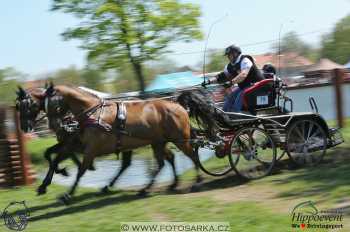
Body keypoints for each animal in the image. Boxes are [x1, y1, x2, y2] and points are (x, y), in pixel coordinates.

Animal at [44, 83, 200, 203]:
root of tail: (178, 105)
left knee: (191, 156)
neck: (94, 114)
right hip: (158, 142)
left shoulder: (91, 149)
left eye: (51, 104)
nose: (54, 127)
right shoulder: (78, 146)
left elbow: (81, 171)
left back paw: (196, 181)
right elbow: (62, 161)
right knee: (166, 161)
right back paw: (166, 185)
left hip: (179, 140)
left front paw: (67, 195)